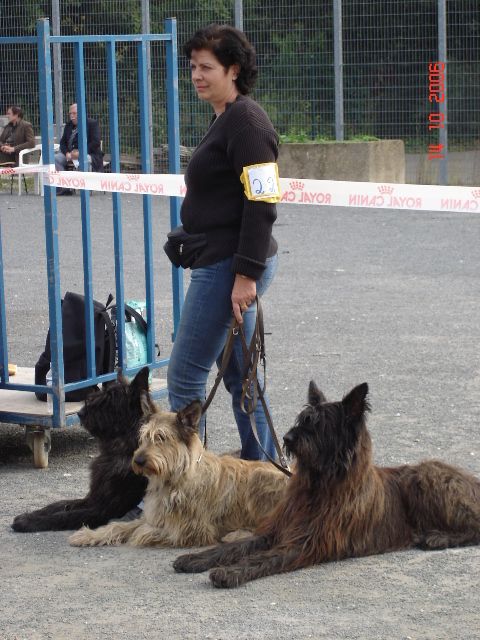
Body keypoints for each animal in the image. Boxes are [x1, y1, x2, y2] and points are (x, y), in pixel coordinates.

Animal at [11, 368, 154, 532]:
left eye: (110, 400)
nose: (80, 413)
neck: (122, 449)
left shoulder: (104, 511)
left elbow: (64, 516)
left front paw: (29, 521)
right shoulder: (93, 498)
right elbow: (59, 504)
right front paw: (34, 513)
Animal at [68, 400, 288, 544]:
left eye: (161, 438)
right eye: (144, 437)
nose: (138, 461)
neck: (175, 479)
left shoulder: (191, 529)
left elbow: (144, 530)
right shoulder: (153, 515)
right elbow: (120, 526)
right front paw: (89, 535)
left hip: (262, 479)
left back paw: (237, 534)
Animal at [173, 382, 480, 588]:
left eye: (319, 426)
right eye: (302, 420)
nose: (288, 438)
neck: (319, 487)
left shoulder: (308, 542)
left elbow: (264, 558)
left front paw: (230, 572)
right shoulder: (278, 530)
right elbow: (233, 547)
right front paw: (197, 558)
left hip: (427, 479)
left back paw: (438, 537)